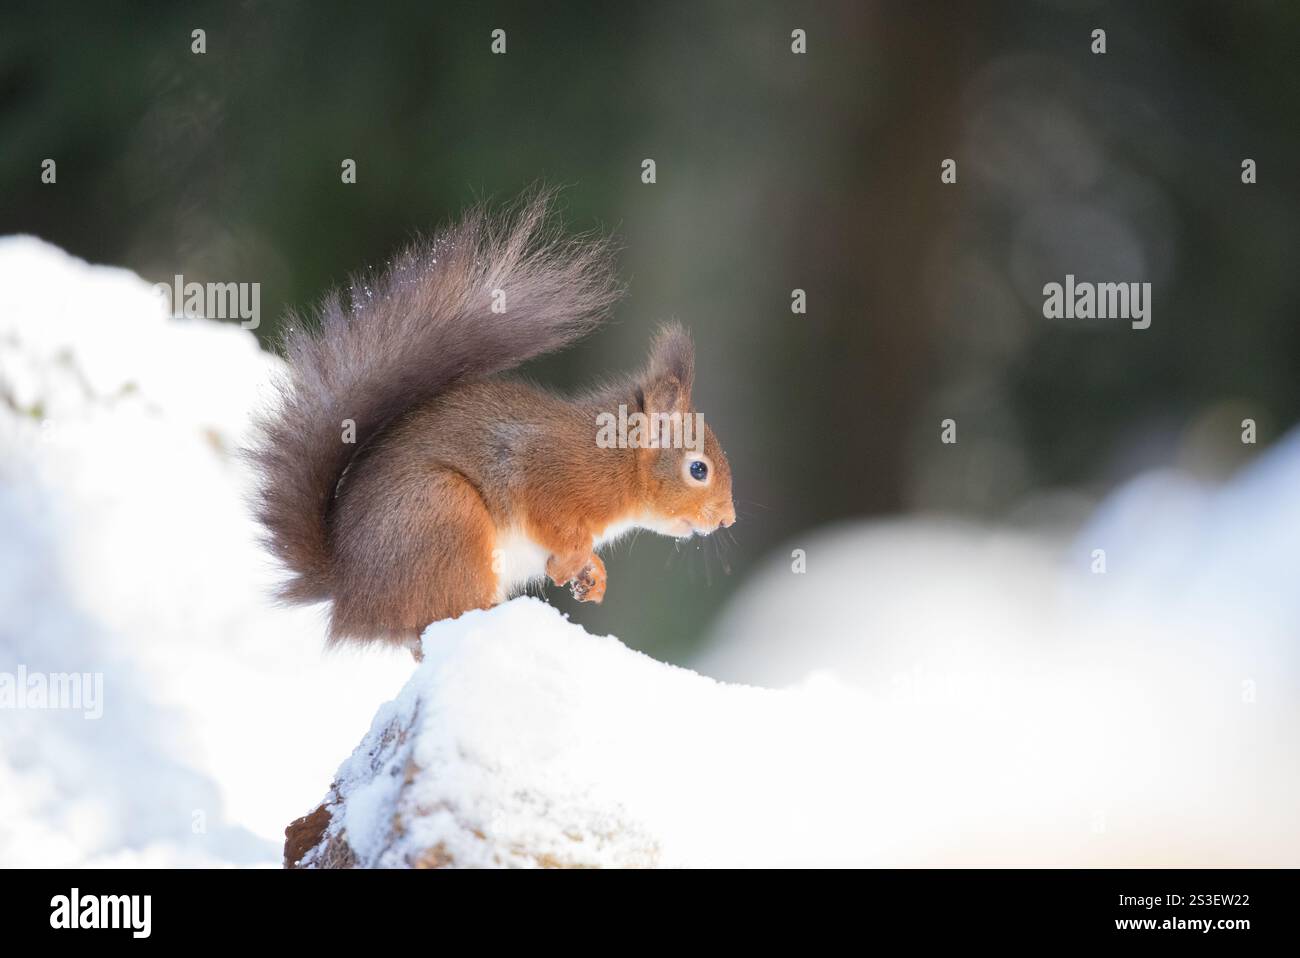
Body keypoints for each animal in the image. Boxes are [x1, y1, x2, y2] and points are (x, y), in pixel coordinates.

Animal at [249, 193, 736, 650]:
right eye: (698, 469)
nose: (728, 520)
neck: (616, 461)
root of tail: (350, 597)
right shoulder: (549, 474)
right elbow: (550, 521)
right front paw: (573, 560)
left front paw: (592, 576)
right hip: (447, 518)